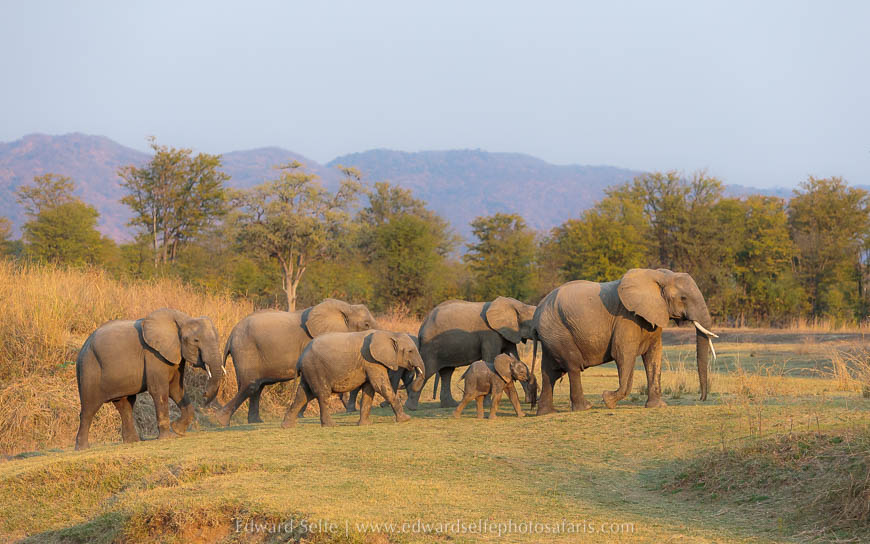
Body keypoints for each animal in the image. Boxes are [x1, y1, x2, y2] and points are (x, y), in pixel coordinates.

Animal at [75, 308, 224, 450]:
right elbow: (160, 390)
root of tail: (83, 347)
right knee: (89, 408)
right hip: (89, 369)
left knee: (125, 405)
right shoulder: (153, 354)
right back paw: (82, 448)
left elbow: (176, 389)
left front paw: (178, 430)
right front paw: (168, 437)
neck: (183, 319)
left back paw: (133, 441)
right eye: (196, 341)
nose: (204, 394)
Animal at [215, 299, 377, 426]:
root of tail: (231, 335)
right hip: (245, 350)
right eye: (366, 325)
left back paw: (255, 421)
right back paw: (222, 421)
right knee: (251, 385)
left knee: (258, 386)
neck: (346, 307)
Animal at [282, 330, 425, 427]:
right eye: (410, 351)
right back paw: (331, 425)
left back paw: (287, 426)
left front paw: (365, 425)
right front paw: (406, 419)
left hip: (309, 371)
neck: (389, 333)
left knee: (303, 395)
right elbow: (380, 386)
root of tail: (300, 358)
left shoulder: (369, 363)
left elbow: (369, 390)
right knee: (322, 394)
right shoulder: (372, 361)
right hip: (316, 369)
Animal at [405, 297, 538, 411]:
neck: (518, 305)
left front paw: (528, 399)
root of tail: (422, 326)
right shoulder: (490, 334)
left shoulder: (508, 333)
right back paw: (411, 408)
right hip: (431, 347)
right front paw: (487, 404)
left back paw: (451, 405)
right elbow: (490, 359)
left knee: (447, 372)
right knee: (428, 371)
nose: (531, 401)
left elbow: (514, 357)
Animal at [533, 268, 717, 416]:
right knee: (572, 366)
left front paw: (657, 406)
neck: (658, 275)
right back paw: (585, 407)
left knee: (550, 372)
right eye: (683, 298)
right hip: (559, 331)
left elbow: (653, 356)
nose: (701, 399)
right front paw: (608, 400)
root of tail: (538, 309)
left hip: (552, 334)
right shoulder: (626, 317)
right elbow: (623, 355)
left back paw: (546, 413)